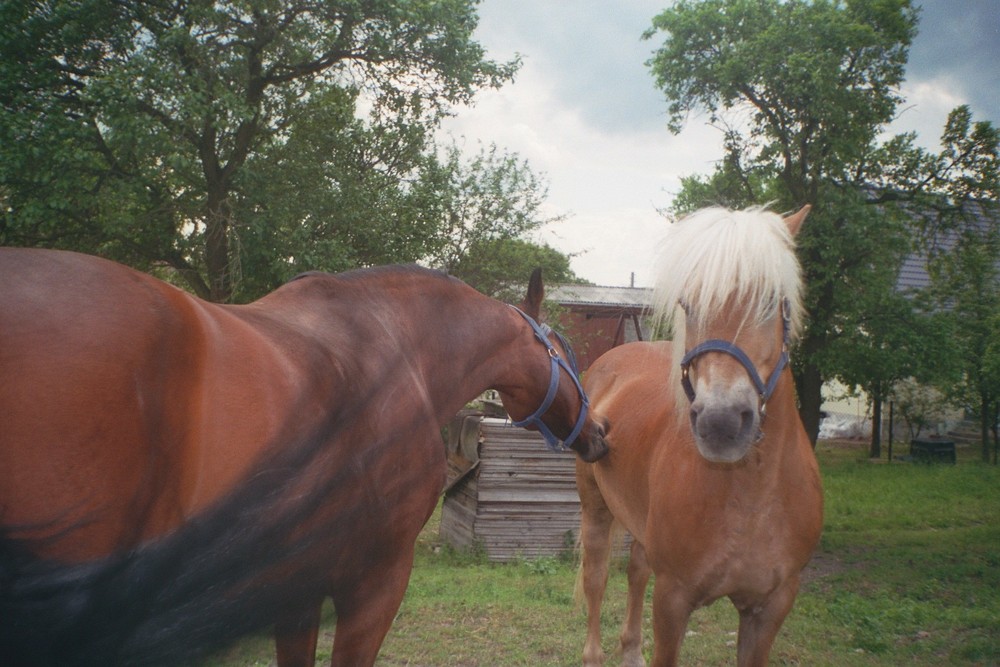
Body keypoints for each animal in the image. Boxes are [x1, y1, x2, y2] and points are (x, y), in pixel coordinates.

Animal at [580, 206, 820, 664]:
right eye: (687, 305)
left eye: (771, 300)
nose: (720, 423)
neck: (752, 496)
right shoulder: (673, 600)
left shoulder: (771, 606)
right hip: (595, 508)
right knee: (596, 579)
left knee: (636, 572)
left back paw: (630, 650)